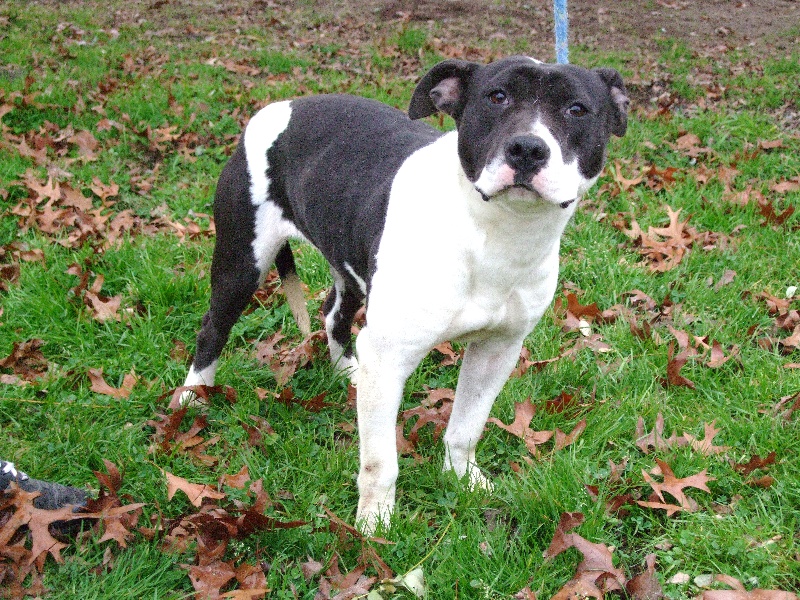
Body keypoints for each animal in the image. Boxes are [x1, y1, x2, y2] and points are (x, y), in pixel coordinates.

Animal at [181, 56, 629, 533]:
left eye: (577, 109)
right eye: (497, 97)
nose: (527, 148)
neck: (494, 233)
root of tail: (277, 106)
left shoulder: (497, 351)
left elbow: (467, 427)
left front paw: (463, 479)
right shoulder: (391, 355)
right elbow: (381, 461)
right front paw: (374, 525)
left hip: (349, 263)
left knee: (334, 313)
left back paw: (348, 371)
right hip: (240, 264)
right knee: (212, 329)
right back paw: (192, 399)